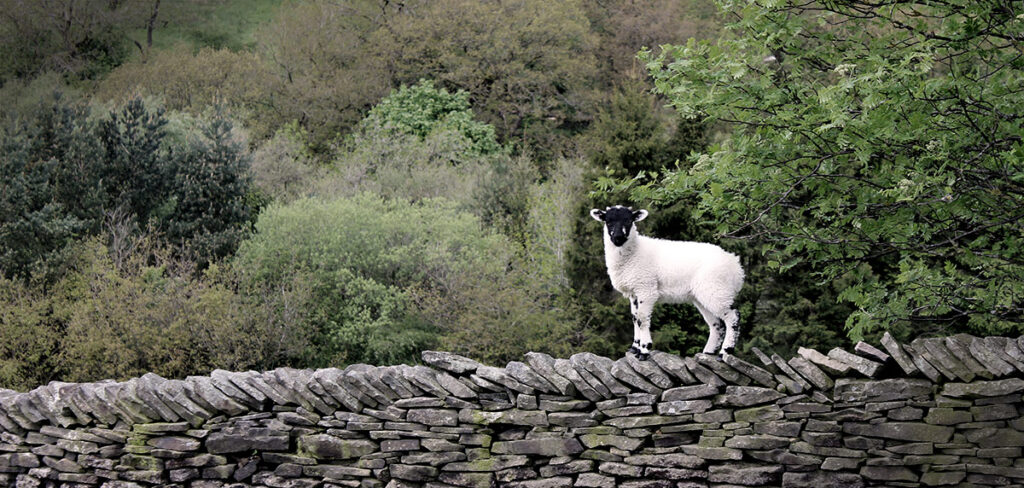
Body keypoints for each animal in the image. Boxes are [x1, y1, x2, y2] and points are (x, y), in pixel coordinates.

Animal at [593, 203, 745, 360]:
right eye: (608, 221)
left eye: (629, 221)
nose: (618, 237)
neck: (634, 253)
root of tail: (736, 266)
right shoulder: (634, 292)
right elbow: (635, 318)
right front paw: (634, 348)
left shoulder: (646, 288)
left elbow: (642, 319)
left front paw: (644, 350)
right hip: (704, 295)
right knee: (716, 324)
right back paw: (708, 352)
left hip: (716, 288)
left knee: (733, 317)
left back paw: (725, 352)